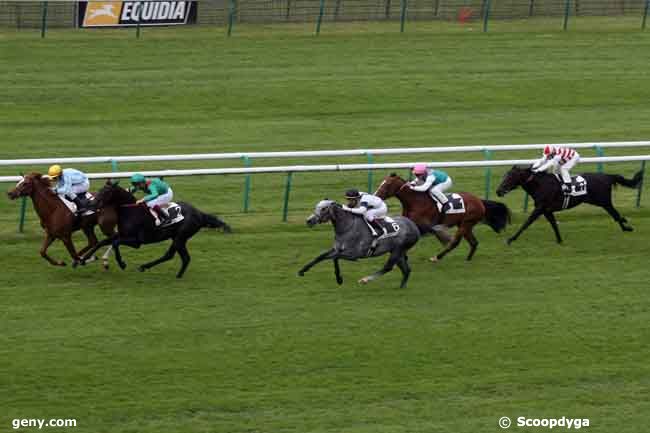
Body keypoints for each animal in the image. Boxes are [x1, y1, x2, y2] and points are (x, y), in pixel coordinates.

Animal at [79, 181, 230, 278]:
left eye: (106, 192)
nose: (91, 203)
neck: (130, 212)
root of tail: (200, 213)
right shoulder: (121, 234)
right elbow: (103, 242)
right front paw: (83, 259)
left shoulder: (136, 241)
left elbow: (115, 243)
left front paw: (122, 264)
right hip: (177, 237)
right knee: (176, 256)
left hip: (181, 237)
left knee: (179, 256)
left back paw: (168, 273)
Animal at [372, 173, 508, 262]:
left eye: (387, 184)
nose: (376, 196)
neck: (415, 202)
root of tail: (479, 201)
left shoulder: (425, 226)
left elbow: (437, 234)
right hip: (464, 224)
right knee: (473, 242)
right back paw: (468, 259)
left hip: (466, 223)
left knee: (455, 242)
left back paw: (437, 257)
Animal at [494, 165, 640, 243]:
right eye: (504, 176)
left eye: (509, 177)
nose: (498, 191)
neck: (540, 185)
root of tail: (608, 176)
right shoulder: (546, 210)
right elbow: (553, 224)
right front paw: (559, 240)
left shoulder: (540, 208)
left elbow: (526, 223)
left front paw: (511, 239)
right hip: (602, 202)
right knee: (615, 215)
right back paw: (625, 226)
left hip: (604, 201)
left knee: (616, 214)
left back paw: (627, 227)